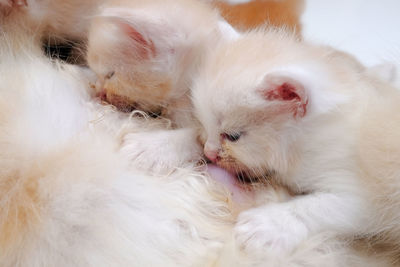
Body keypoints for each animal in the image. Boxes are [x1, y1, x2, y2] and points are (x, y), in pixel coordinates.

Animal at [191, 28, 400, 256]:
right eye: (204, 125)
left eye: (233, 136)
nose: (208, 152)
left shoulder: (367, 190)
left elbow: (321, 206)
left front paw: (267, 225)